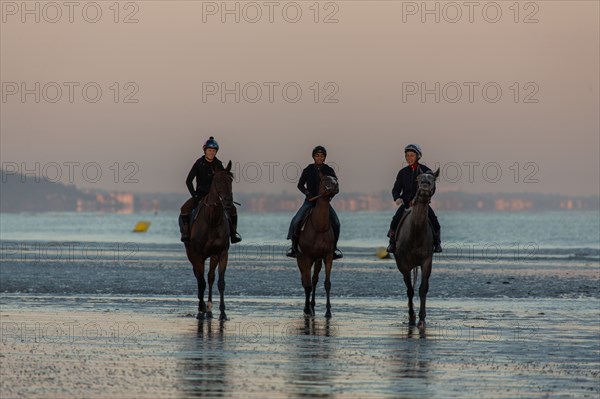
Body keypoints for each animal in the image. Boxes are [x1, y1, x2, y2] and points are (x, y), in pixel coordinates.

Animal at [185, 161, 234, 320]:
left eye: (230, 180)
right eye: (217, 180)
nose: (228, 201)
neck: (212, 220)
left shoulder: (222, 252)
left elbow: (220, 282)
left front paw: (223, 313)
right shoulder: (197, 254)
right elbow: (201, 282)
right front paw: (200, 310)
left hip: (212, 256)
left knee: (210, 277)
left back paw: (210, 309)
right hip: (191, 254)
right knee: (199, 277)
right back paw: (203, 308)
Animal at [294, 175, 338, 318]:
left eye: (335, 179)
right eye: (325, 181)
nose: (335, 187)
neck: (319, 226)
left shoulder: (327, 256)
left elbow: (327, 283)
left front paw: (328, 311)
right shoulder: (306, 257)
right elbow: (306, 285)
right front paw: (306, 309)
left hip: (318, 259)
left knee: (314, 280)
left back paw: (312, 306)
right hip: (300, 258)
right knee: (305, 281)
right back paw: (308, 308)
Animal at [394, 168, 440, 328]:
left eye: (433, 178)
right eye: (419, 178)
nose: (425, 185)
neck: (415, 233)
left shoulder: (426, 261)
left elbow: (423, 289)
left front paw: (421, 318)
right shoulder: (403, 265)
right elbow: (409, 290)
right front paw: (412, 316)